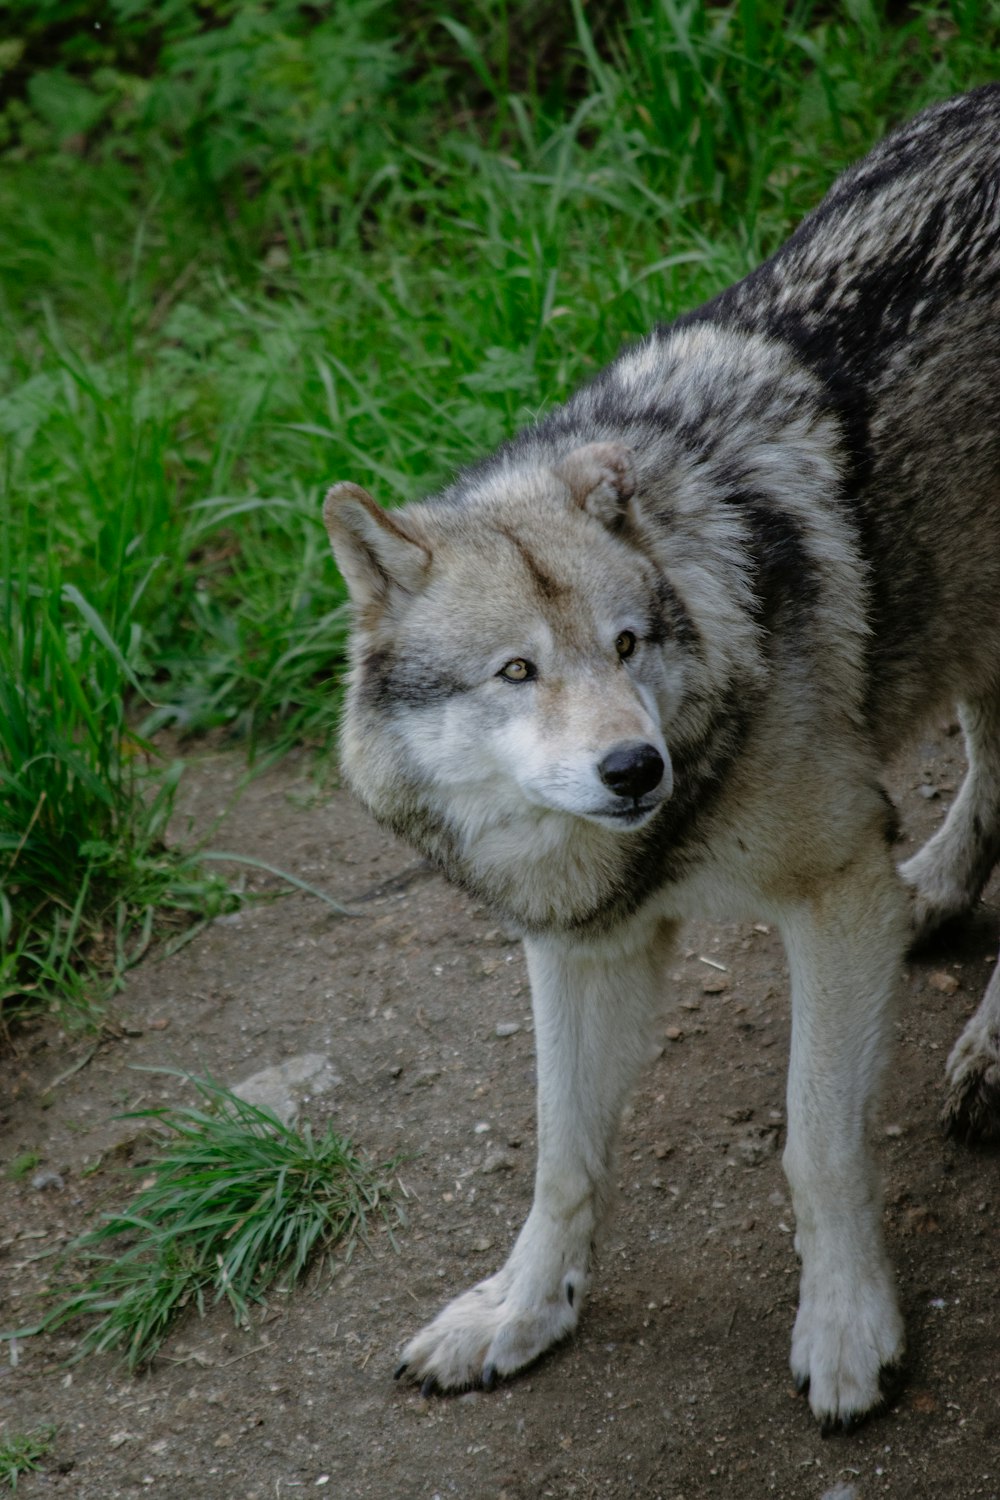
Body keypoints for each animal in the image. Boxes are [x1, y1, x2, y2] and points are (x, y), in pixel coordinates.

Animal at [320, 87, 1000, 1434]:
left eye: (626, 644)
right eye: (517, 673)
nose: (633, 770)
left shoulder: (832, 896)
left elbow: (815, 1146)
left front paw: (846, 1330)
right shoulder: (582, 945)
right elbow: (561, 1159)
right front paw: (518, 1317)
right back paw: (941, 899)